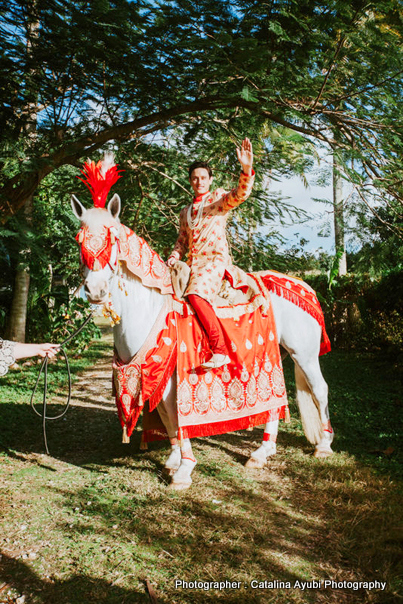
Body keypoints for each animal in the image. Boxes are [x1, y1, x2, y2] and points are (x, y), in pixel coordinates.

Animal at [71, 196, 332, 488]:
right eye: (79, 240)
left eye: (113, 238)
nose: (95, 290)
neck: (150, 309)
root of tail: (304, 285)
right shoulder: (156, 377)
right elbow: (167, 418)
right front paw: (173, 460)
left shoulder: (174, 378)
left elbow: (177, 417)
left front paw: (184, 470)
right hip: (273, 356)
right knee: (276, 400)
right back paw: (262, 452)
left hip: (304, 355)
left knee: (320, 390)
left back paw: (324, 445)